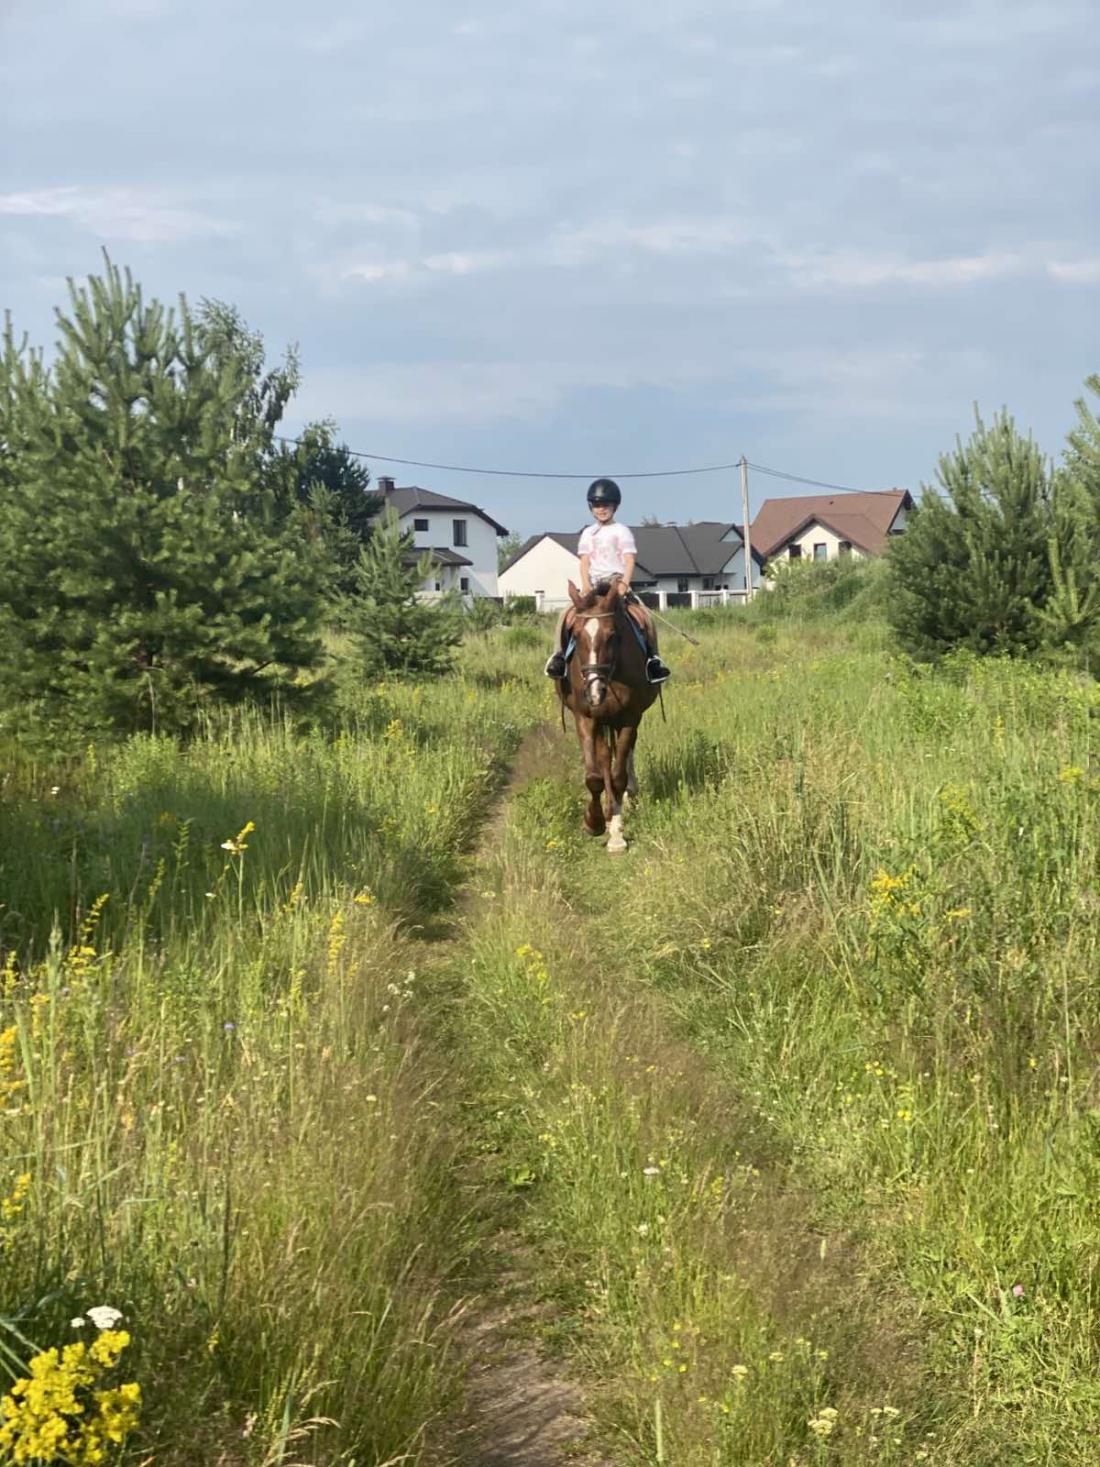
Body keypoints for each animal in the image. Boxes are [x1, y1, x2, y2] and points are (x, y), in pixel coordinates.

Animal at [554, 572, 660, 850]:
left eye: (613, 635)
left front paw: (616, 836)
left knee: (626, 755)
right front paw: (594, 821)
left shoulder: (629, 718)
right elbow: (594, 776)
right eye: (576, 634)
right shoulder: (586, 718)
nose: (594, 691)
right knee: (603, 759)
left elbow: (619, 774)